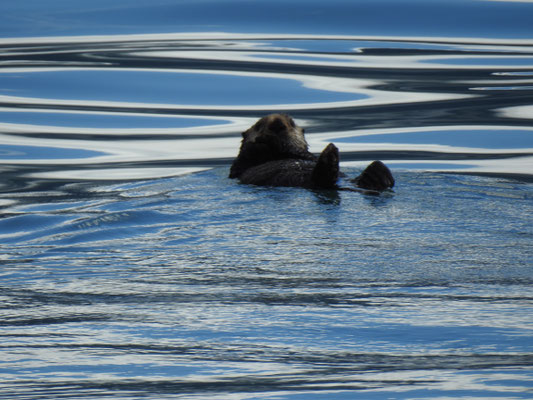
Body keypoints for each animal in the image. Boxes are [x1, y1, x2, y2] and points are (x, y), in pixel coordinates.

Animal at [229, 114, 394, 192]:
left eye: (291, 123)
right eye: (259, 125)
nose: (277, 123)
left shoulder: (303, 155)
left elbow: (304, 154)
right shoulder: (239, 167)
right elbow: (244, 159)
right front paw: (263, 141)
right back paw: (330, 156)